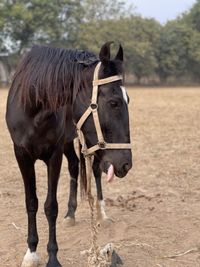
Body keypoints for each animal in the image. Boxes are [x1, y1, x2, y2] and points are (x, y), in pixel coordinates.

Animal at [5, 42, 132, 267]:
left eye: (128, 100)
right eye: (114, 102)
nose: (126, 164)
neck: (33, 104)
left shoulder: (53, 155)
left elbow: (50, 207)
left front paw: (53, 257)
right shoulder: (22, 155)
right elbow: (31, 203)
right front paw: (31, 253)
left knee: (95, 172)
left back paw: (101, 213)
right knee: (74, 166)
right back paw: (70, 214)